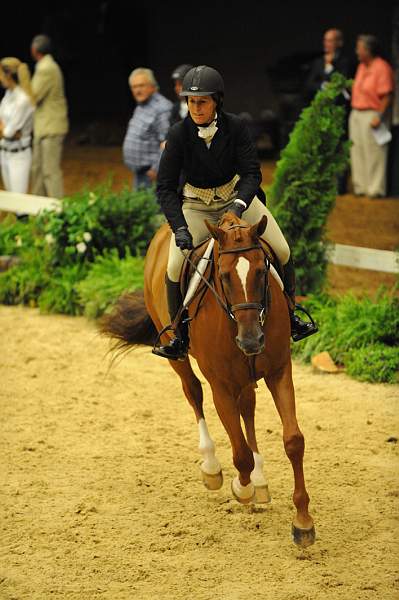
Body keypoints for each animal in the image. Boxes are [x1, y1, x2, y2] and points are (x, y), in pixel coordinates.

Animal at [101, 212, 318, 548]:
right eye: (224, 276)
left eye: (262, 271)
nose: (252, 340)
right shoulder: (221, 386)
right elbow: (240, 453)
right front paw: (241, 488)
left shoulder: (279, 371)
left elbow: (293, 441)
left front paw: (303, 522)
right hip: (178, 355)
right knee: (193, 393)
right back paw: (213, 468)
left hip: (247, 375)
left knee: (248, 407)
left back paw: (260, 481)